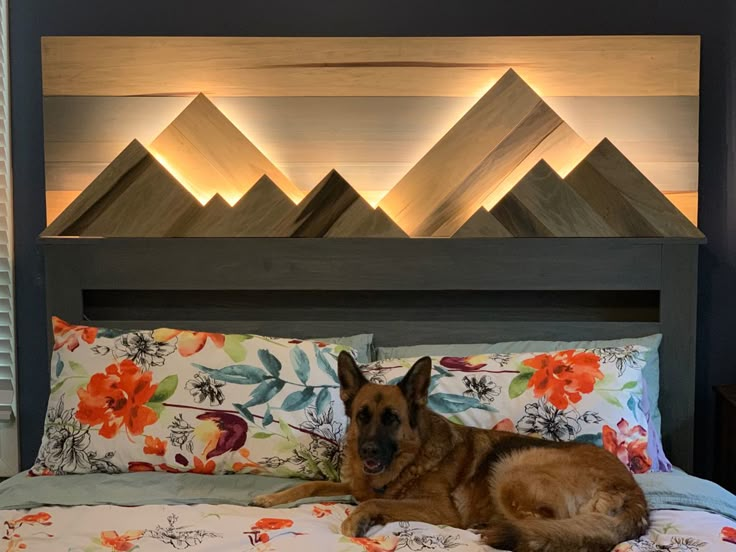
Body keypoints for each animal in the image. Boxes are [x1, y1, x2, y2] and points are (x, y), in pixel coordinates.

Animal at [254, 352, 648, 548]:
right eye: (362, 416)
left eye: (392, 419)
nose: (368, 452)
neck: (410, 460)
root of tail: (634, 494)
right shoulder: (353, 485)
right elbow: (314, 485)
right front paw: (272, 498)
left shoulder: (439, 508)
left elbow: (373, 501)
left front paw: (359, 517)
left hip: (513, 467)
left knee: (542, 527)